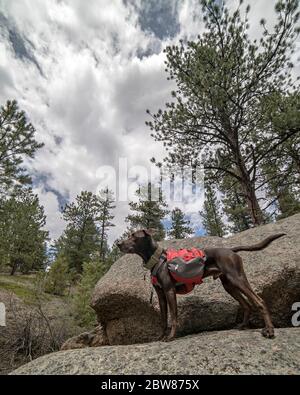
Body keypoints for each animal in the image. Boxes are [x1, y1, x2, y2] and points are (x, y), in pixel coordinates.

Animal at [116, 230, 284, 342]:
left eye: (133, 236)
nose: (118, 244)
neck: (158, 260)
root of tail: (231, 249)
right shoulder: (161, 295)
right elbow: (163, 319)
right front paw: (160, 336)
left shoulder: (170, 291)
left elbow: (174, 317)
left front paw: (170, 337)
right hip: (229, 285)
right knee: (247, 304)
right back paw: (242, 325)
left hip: (237, 279)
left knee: (259, 301)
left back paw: (269, 330)